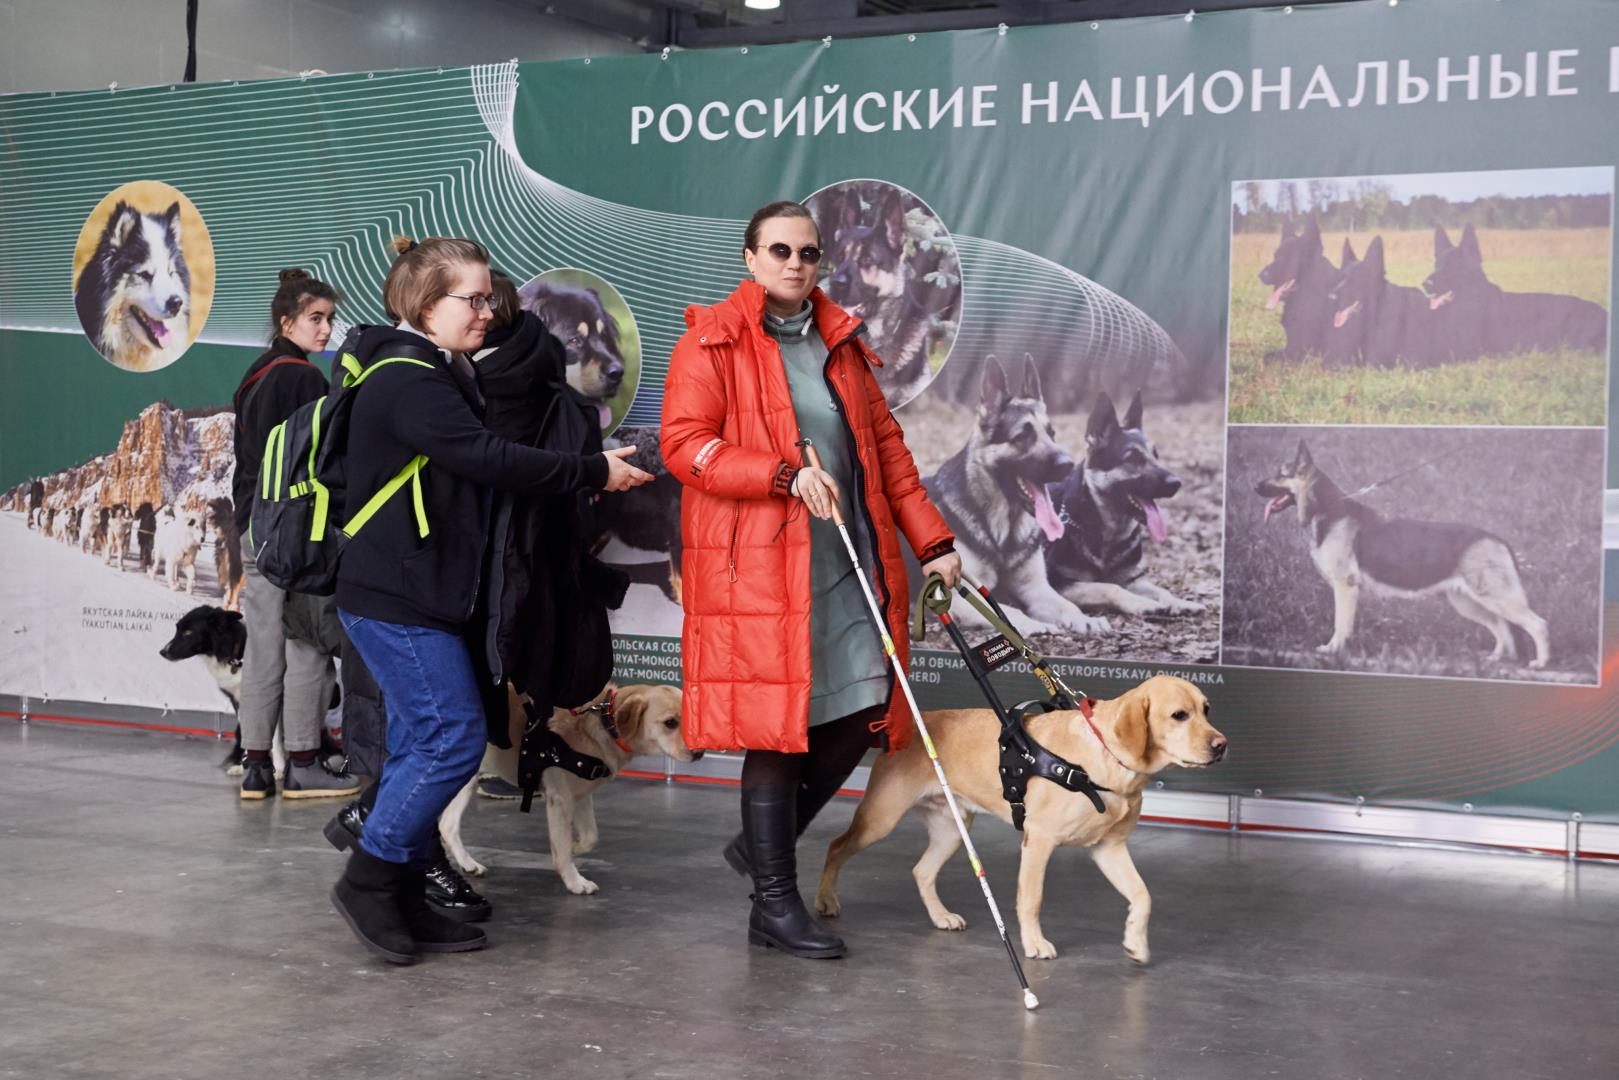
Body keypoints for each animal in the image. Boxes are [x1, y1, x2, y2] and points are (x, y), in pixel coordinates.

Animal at [437, 683, 696, 893]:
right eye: (670, 723)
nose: (699, 751)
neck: (603, 723)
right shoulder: (560, 798)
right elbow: (561, 850)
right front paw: (574, 881)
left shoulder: (580, 796)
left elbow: (591, 836)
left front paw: (576, 846)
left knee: (447, 825)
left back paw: (468, 864)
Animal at [815, 676, 1217, 965]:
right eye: (1179, 715)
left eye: (1206, 709)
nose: (1222, 745)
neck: (1101, 759)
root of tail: (908, 726)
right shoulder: (1038, 840)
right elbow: (1032, 898)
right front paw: (1035, 943)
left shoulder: (1109, 848)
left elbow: (1142, 895)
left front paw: (1135, 941)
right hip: (879, 819)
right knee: (836, 846)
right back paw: (826, 900)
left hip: (952, 831)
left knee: (922, 871)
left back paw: (941, 916)